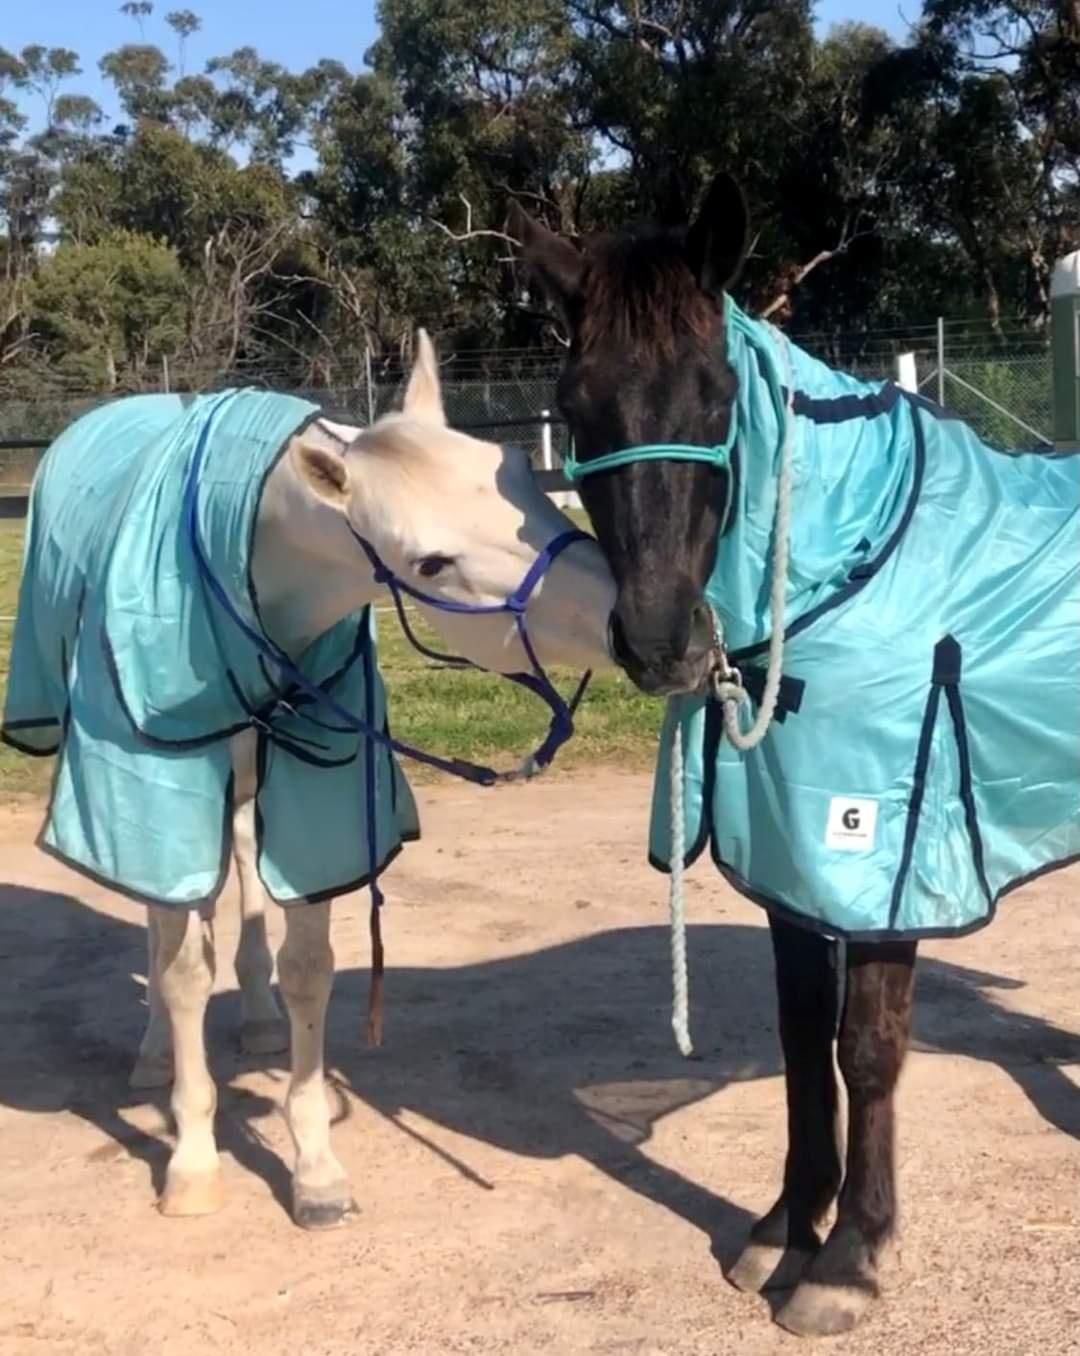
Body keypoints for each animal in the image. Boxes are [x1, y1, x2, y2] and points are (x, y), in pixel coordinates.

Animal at [1, 331, 615, 1229]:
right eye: (431, 560)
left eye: (512, 466)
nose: (655, 621)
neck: (247, 578)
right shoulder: (156, 783)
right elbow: (183, 971)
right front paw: (192, 1163)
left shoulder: (319, 790)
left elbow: (305, 968)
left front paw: (315, 1161)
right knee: (162, 918)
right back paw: (153, 1054)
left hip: (250, 786)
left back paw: (257, 1022)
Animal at [510, 176, 1080, 1335]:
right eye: (576, 403)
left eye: (718, 396)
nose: (661, 641)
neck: (857, 563)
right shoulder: (791, 855)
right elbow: (801, 1037)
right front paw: (786, 1227)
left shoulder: (883, 857)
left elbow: (866, 1048)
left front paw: (851, 1258)